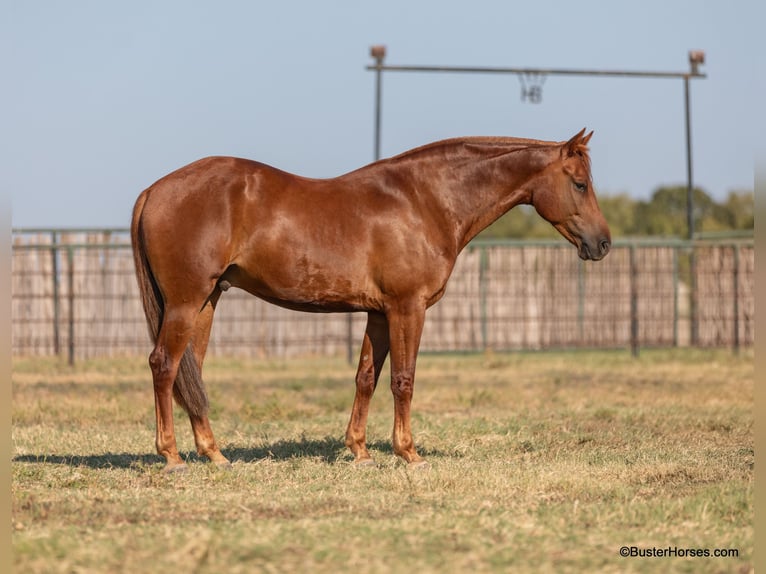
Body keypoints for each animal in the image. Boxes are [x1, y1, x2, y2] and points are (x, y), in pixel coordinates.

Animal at [130, 127, 612, 472]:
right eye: (580, 184)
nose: (603, 244)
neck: (424, 200)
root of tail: (154, 189)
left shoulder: (378, 313)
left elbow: (366, 378)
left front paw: (359, 451)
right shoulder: (406, 308)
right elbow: (403, 379)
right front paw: (409, 453)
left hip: (207, 301)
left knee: (192, 372)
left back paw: (213, 453)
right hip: (186, 302)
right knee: (164, 365)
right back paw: (171, 456)